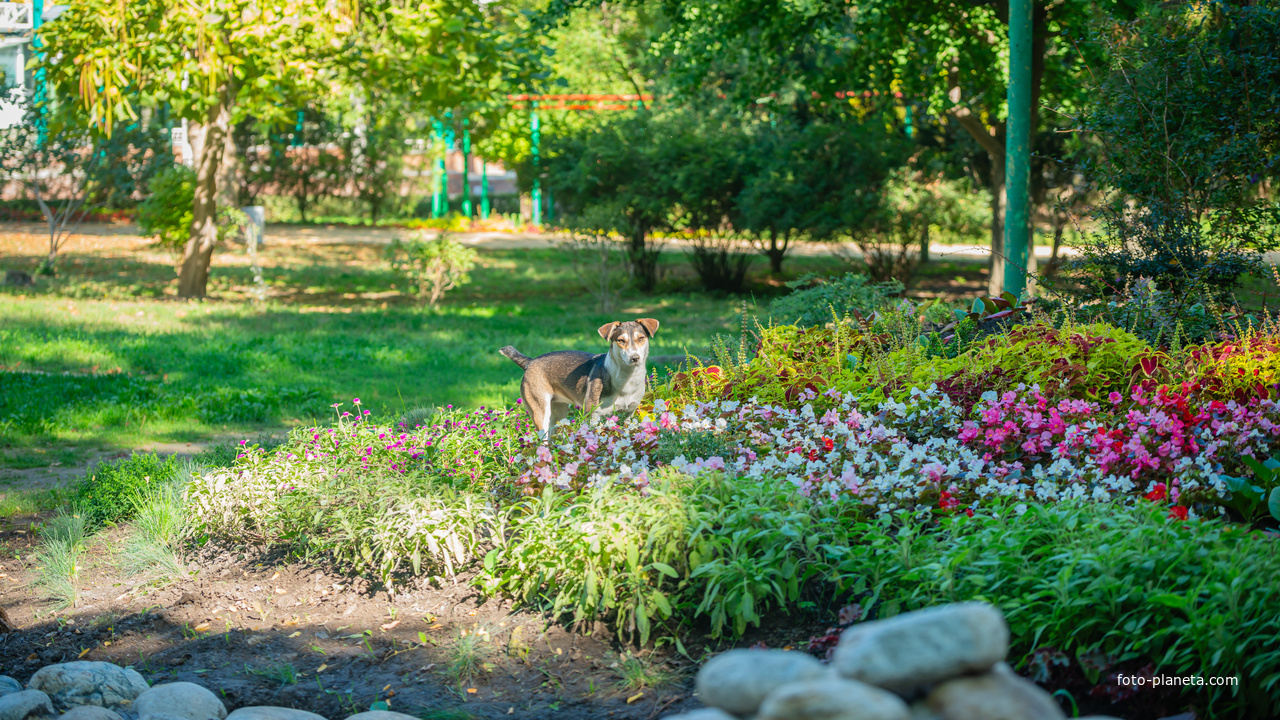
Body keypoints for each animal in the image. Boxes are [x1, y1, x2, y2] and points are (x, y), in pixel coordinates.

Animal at [499, 317, 660, 440]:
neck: (627, 379)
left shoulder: (629, 415)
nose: (635, 358)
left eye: (641, 338)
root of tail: (530, 362)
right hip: (540, 411)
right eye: (621, 340)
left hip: (558, 412)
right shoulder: (592, 415)